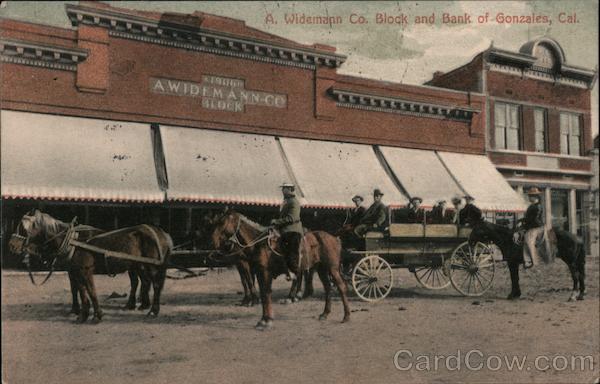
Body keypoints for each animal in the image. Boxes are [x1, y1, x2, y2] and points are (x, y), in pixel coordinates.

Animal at [7, 210, 150, 316]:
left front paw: (78, 310)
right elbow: (75, 288)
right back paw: (137, 304)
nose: (11, 246)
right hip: (134, 266)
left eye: (23, 227)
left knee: (142, 282)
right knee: (138, 282)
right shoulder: (72, 270)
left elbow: (78, 288)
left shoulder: (77, 269)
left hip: (138, 266)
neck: (71, 241)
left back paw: (141, 304)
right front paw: (76, 309)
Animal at [212, 208, 350, 328]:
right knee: (328, 288)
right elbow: (263, 293)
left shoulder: (264, 272)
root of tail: (335, 238)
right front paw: (263, 319)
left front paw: (267, 320)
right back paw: (324, 313)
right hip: (321, 269)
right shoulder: (258, 272)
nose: (213, 241)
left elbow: (266, 293)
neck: (260, 244)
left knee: (341, 287)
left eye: (222, 222)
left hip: (333, 269)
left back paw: (346, 316)